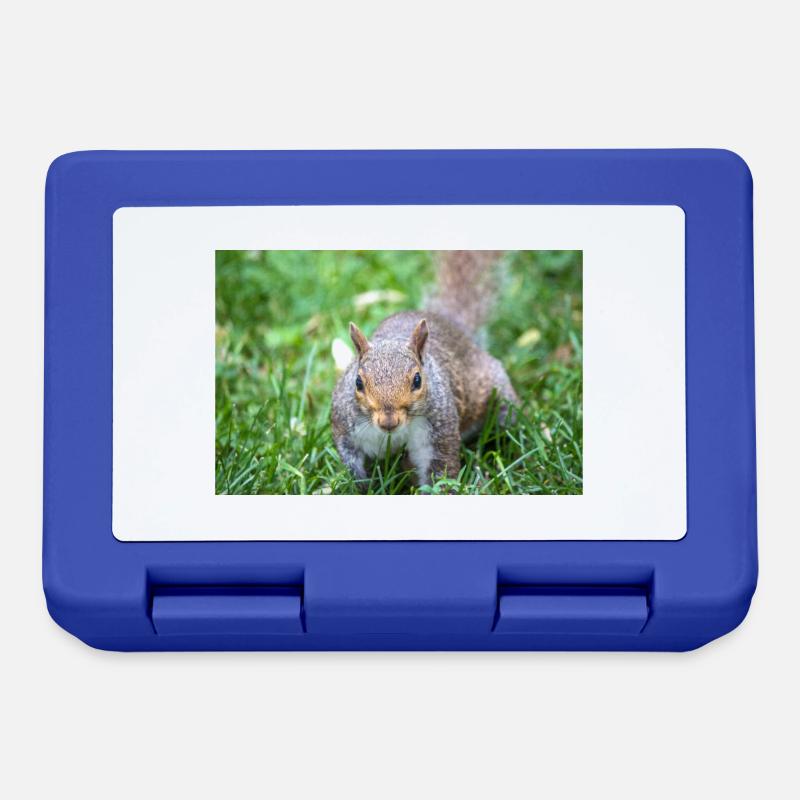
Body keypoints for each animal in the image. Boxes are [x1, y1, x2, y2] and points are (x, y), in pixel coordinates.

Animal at [331, 250, 518, 490]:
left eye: (418, 380)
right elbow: (351, 463)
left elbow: (440, 469)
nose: (388, 422)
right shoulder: (345, 428)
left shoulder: (439, 433)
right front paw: (362, 487)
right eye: (358, 383)